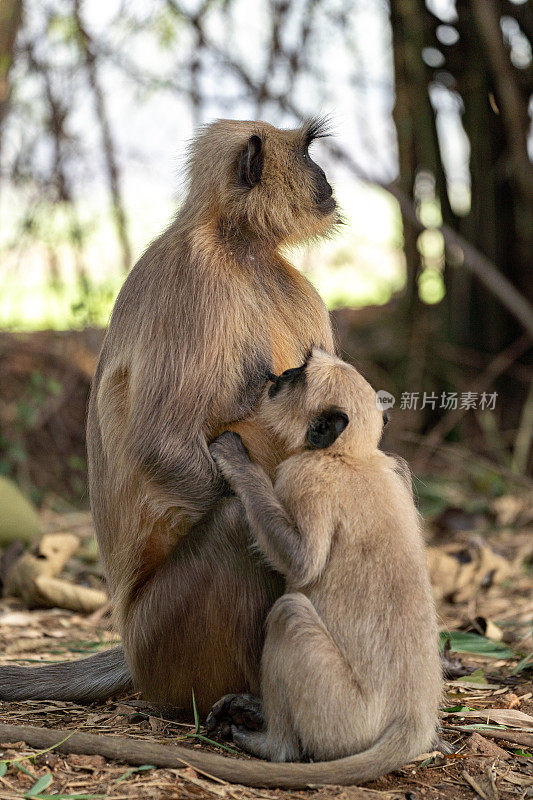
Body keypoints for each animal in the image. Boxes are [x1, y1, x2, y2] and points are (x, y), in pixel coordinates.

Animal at [0, 119, 336, 712]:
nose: (327, 179)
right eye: (308, 154)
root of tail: (129, 640)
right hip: (164, 639)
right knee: (235, 522)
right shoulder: (194, 276)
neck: (239, 247)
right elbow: (162, 442)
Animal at [208, 350, 440, 780]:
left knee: (289, 612)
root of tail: (413, 719)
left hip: (343, 712)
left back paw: (271, 743)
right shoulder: (394, 467)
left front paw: (237, 461)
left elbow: (303, 566)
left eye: (297, 377)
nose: (278, 374)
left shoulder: (304, 475)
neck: (349, 456)